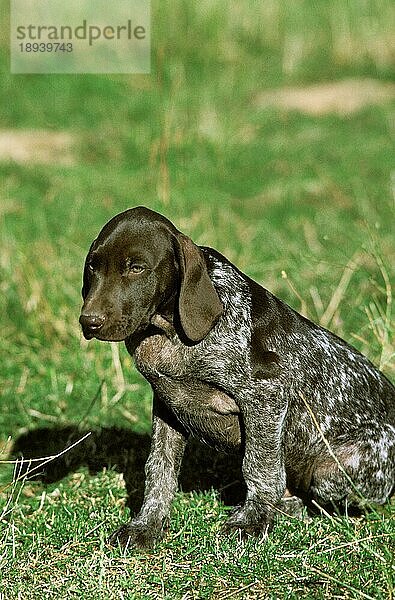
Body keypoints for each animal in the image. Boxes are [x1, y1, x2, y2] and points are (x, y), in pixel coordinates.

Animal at [79, 206, 395, 548]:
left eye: (137, 268)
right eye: (93, 266)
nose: (89, 322)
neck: (169, 331)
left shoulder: (266, 393)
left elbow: (260, 465)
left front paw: (252, 520)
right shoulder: (165, 404)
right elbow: (159, 470)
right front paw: (147, 525)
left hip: (332, 470)